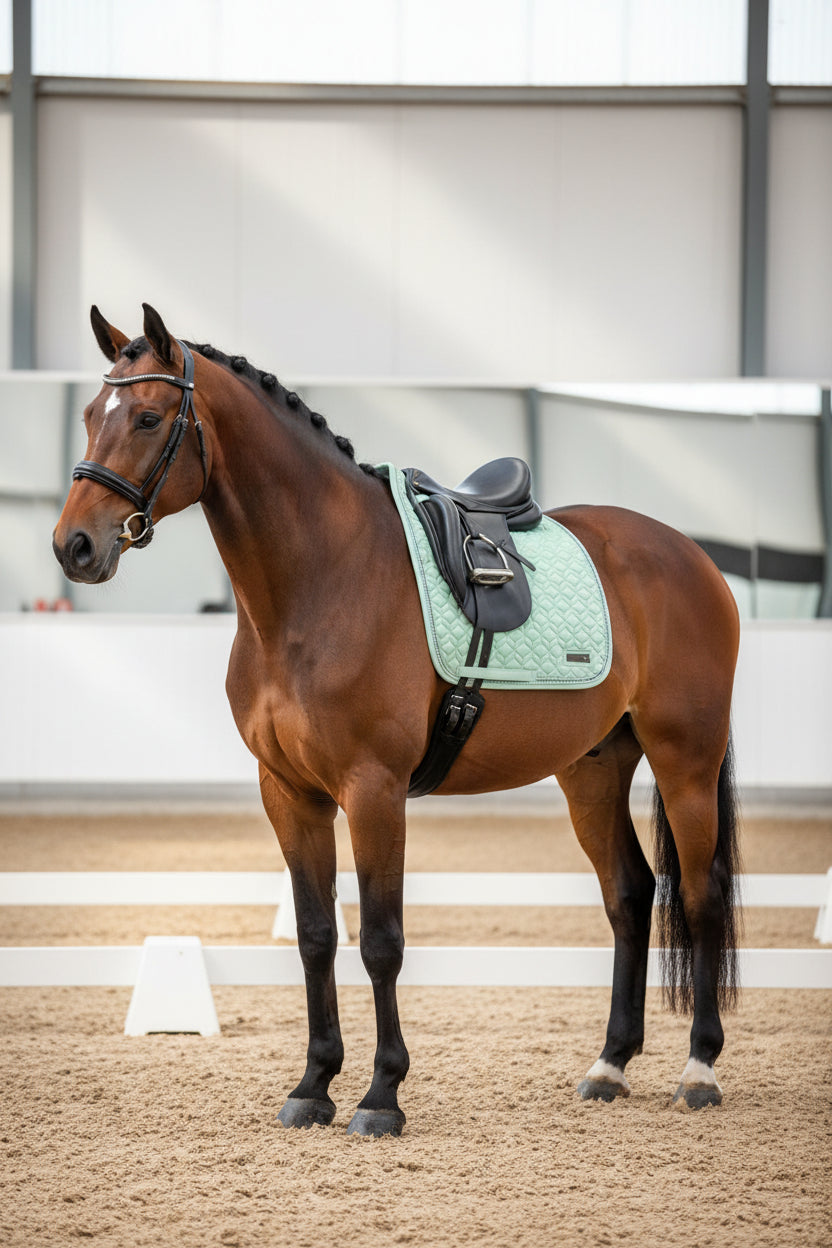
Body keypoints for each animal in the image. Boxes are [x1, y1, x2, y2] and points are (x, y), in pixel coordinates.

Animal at [53, 304, 742, 1137]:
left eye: (149, 417)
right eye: (91, 415)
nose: (73, 546)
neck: (320, 580)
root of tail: (690, 555)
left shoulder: (373, 789)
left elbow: (381, 941)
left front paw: (381, 1095)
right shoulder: (290, 792)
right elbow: (317, 936)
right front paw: (314, 1085)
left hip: (686, 759)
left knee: (701, 895)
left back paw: (700, 1069)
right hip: (594, 768)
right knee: (631, 895)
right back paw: (609, 1065)